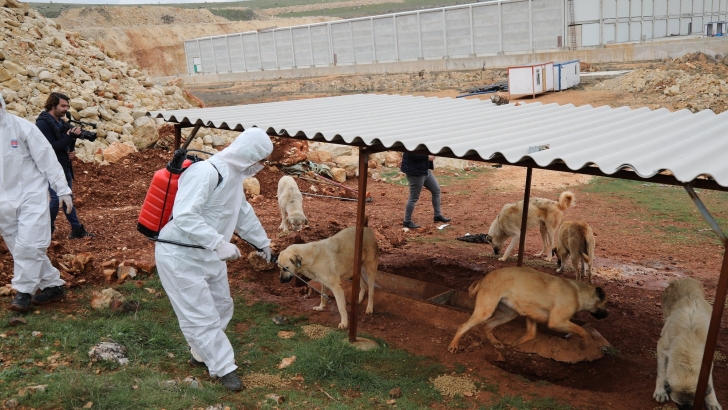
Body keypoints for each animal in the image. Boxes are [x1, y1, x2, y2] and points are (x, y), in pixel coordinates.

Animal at [446, 266, 604, 352]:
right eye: (605, 303)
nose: (606, 315)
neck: (578, 292)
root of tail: (483, 278)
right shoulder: (557, 322)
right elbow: (582, 330)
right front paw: (584, 343)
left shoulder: (531, 314)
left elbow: (531, 334)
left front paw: (516, 343)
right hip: (485, 311)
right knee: (463, 326)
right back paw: (454, 345)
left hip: (507, 315)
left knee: (487, 325)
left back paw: (495, 342)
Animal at [656, 278, 724, 410]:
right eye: (678, 405)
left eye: (693, 406)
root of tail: (685, 279)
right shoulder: (662, 348)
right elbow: (661, 371)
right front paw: (660, 391)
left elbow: (709, 382)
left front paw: (712, 400)